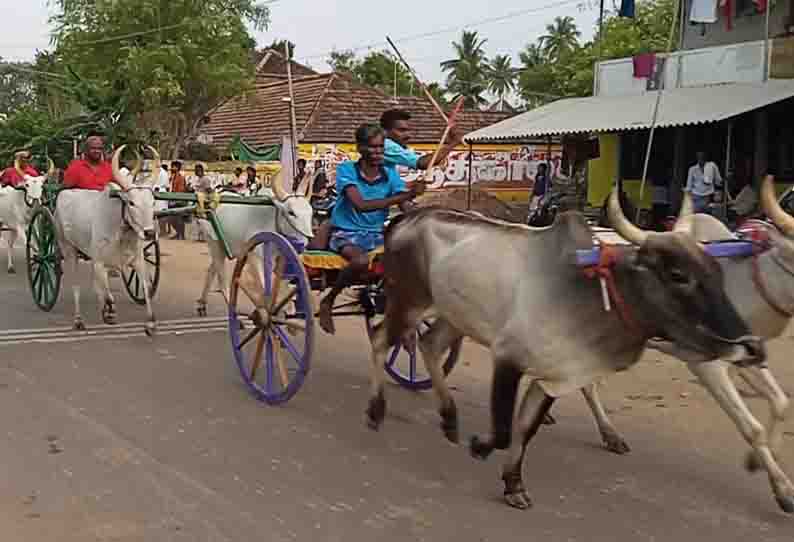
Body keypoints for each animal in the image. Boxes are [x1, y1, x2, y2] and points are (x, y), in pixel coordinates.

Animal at [54, 148, 159, 336]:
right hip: (67, 247)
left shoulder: (138, 261)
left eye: (153, 202)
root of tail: (63, 193)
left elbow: (146, 289)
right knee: (75, 284)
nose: (149, 233)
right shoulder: (99, 262)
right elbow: (108, 295)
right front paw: (109, 313)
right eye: (131, 202)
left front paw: (150, 323)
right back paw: (78, 320)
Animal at [195, 169, 312, 314]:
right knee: (222, 281)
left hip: (222, 248)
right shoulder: (255, 257)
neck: (273, 222)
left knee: (211, 270)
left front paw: (289, 309)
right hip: (214, 244)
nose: (304, 243)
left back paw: (202, 304)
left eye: (310, 213)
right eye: (291, 212)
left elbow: (284, 284)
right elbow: (264, 287)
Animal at [368, 193, 764, 512]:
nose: (752, 347)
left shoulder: (557, 377)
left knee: (429, 345)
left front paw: (513, 484)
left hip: (454, 316)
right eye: (678, 275)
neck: (589, 293)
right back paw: (376, 411)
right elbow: (503, 429)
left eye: (716, 271)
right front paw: (480, 447)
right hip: (408, 302)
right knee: (380, 341)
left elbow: (525, 429)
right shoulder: (508, 358)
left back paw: (449, 418)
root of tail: (406, 218)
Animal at [580, 176, 792, 516]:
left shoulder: (748, 353)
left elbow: (781, 403)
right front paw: (783, 491)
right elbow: (752, 428)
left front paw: (757, 461)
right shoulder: (707, 363)